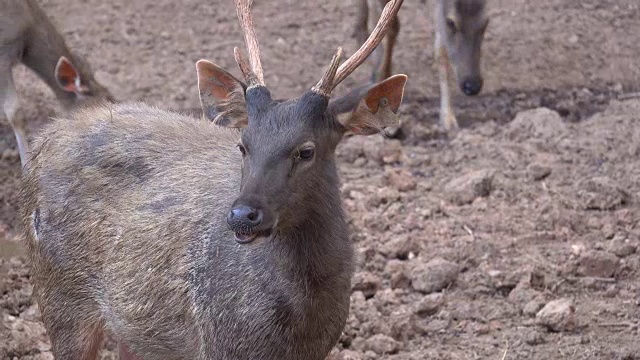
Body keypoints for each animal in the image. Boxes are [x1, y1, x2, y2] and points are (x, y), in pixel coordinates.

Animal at [22, 0, 408, 360]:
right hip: (60, 297)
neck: (303, 317)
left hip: (131, 327)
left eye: (306, 150)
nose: (242, 215)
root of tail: (44, 138)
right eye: (243, 144)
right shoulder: (219, 340)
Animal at [356, 0, 490, 129]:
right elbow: (389, 26)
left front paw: (448, 118)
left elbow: (440, 50)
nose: (472, 86)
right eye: (451, 22)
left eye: (486, 22)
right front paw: (378, 77)